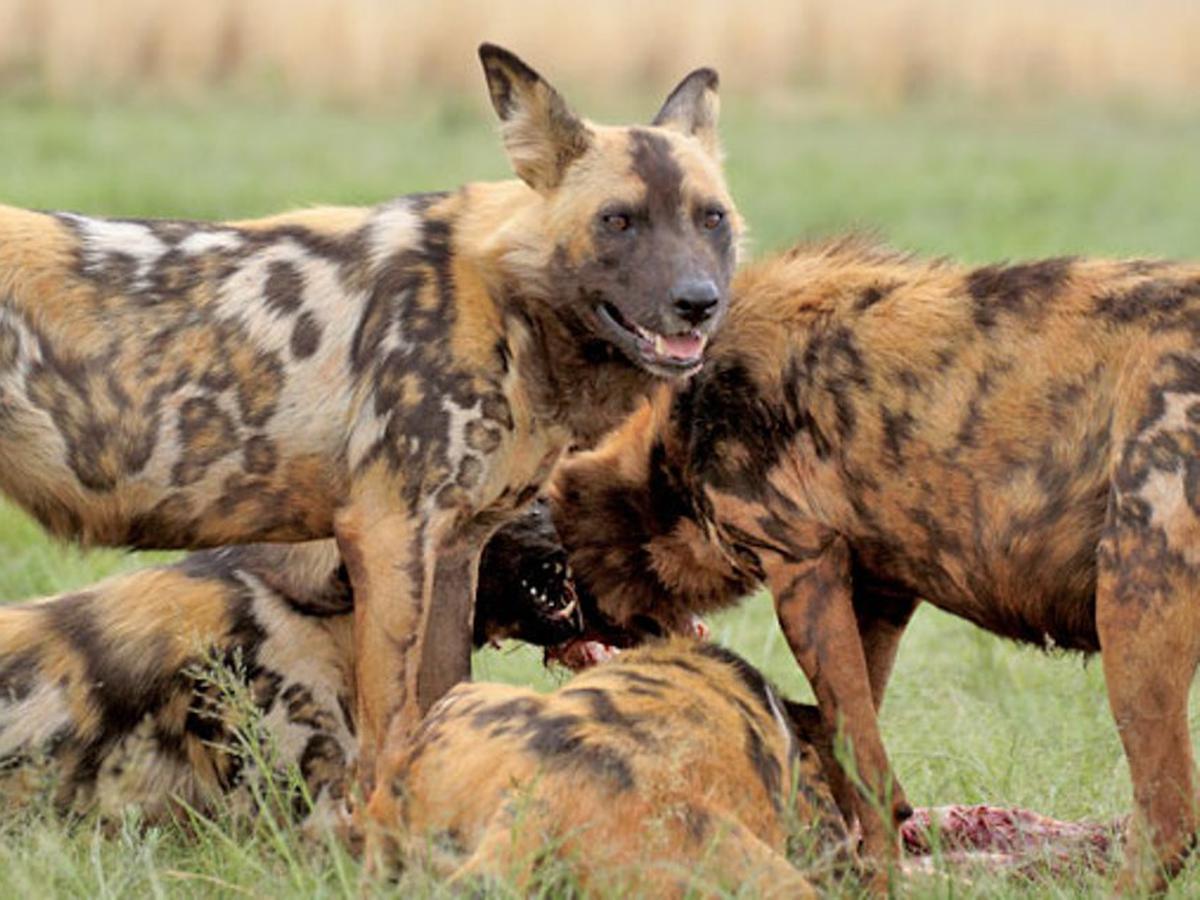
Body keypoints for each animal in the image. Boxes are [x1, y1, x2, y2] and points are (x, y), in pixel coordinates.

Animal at [0, 45, 739, 787]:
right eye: (618, 220)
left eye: (713, 220)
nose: (697, 303)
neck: (507, 308)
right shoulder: (388, 535)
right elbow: (391, 731)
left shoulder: (455, 550)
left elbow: (443, 702)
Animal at [535, 240, 1200, 897]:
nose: (554, 631)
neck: (678, 435)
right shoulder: (879, 596)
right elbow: (843, 737)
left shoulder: (802, 567)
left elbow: (861, 759)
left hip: (1134, 608)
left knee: (1168, 820)